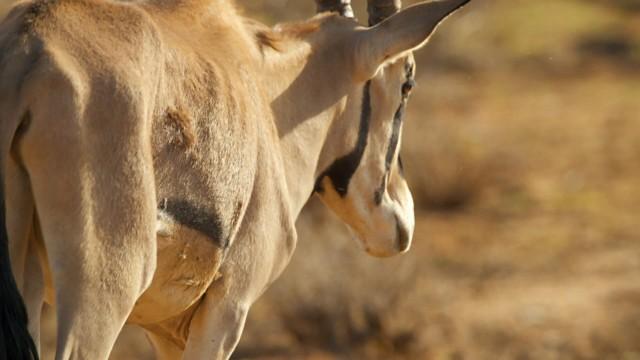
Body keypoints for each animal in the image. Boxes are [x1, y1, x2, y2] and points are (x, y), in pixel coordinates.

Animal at [0, 0, 470, 358]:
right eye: (407, 82)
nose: (400, 220)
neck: (266, 88)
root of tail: (30, 50)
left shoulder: (166, 330)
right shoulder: (229, 307)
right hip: (102, 293)